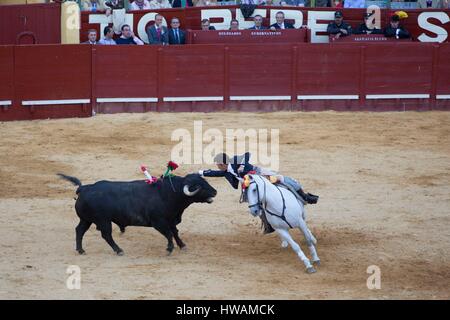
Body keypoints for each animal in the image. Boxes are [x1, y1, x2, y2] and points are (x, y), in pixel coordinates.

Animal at [58, 172, 218, 255]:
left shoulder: (171, 219)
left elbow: (175, 232)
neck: (170, 193)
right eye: (199, 186)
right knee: (106, 235)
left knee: (79, 230)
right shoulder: (159, 222)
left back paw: (80, 250)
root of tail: (84, 188)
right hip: (103, 221)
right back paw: (119, 250)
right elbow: (169, 234)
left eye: (205, 181)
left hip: (86, 219)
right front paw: (169, 249)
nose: (215, 191)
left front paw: (182, 245)